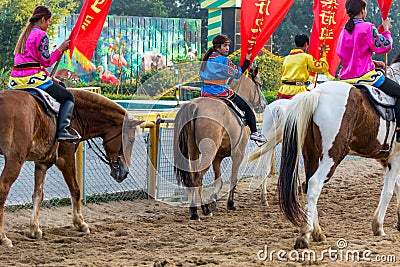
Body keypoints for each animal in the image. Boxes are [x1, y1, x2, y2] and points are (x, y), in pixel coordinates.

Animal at [0, 89, 143, 248]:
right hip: (15, 160)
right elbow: (75, 189)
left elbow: (38, 194)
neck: (75, 115)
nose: (124, 172)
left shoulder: (42, 163)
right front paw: (80, 223)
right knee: (2, 190)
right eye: (130, 139)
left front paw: (35, 229)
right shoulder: (66, 159)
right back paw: (3, 237)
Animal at [174, 69, 266, 222]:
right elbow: (233, 179)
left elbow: (219, 181)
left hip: (194, 152)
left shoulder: (217, 157)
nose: (263, 104)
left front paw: (214, 200)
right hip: (208, 153)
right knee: (198, 178)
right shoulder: (238, 153)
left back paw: (196, 209)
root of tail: (193, 106)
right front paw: (230, 203)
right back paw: (201, 210)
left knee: (192, 178)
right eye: (259, 84)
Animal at [276, 79, 400, 249]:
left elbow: (397, 187)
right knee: (315, 184)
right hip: (332, 156)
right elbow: (388, 192)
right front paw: (378, 227)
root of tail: (317, 93)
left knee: (309, 185)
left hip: (311, 156)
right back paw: (305, 234)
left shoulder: (386, 160)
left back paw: (317, 232)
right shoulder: (395, 158)